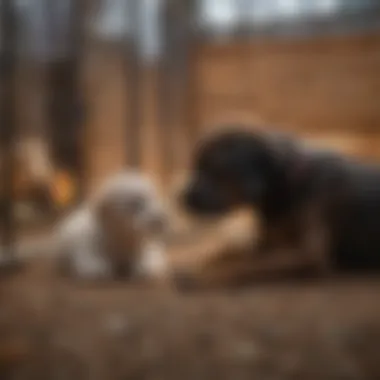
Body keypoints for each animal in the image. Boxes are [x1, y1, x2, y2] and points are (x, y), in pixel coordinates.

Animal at [183, 124, 380, 282]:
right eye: (196, 167)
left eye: (215, 169)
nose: (182, 197)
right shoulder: (267, 243)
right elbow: (231, 253)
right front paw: (207, 263)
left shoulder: (308, 256)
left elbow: (246, 264)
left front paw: (202, 275)